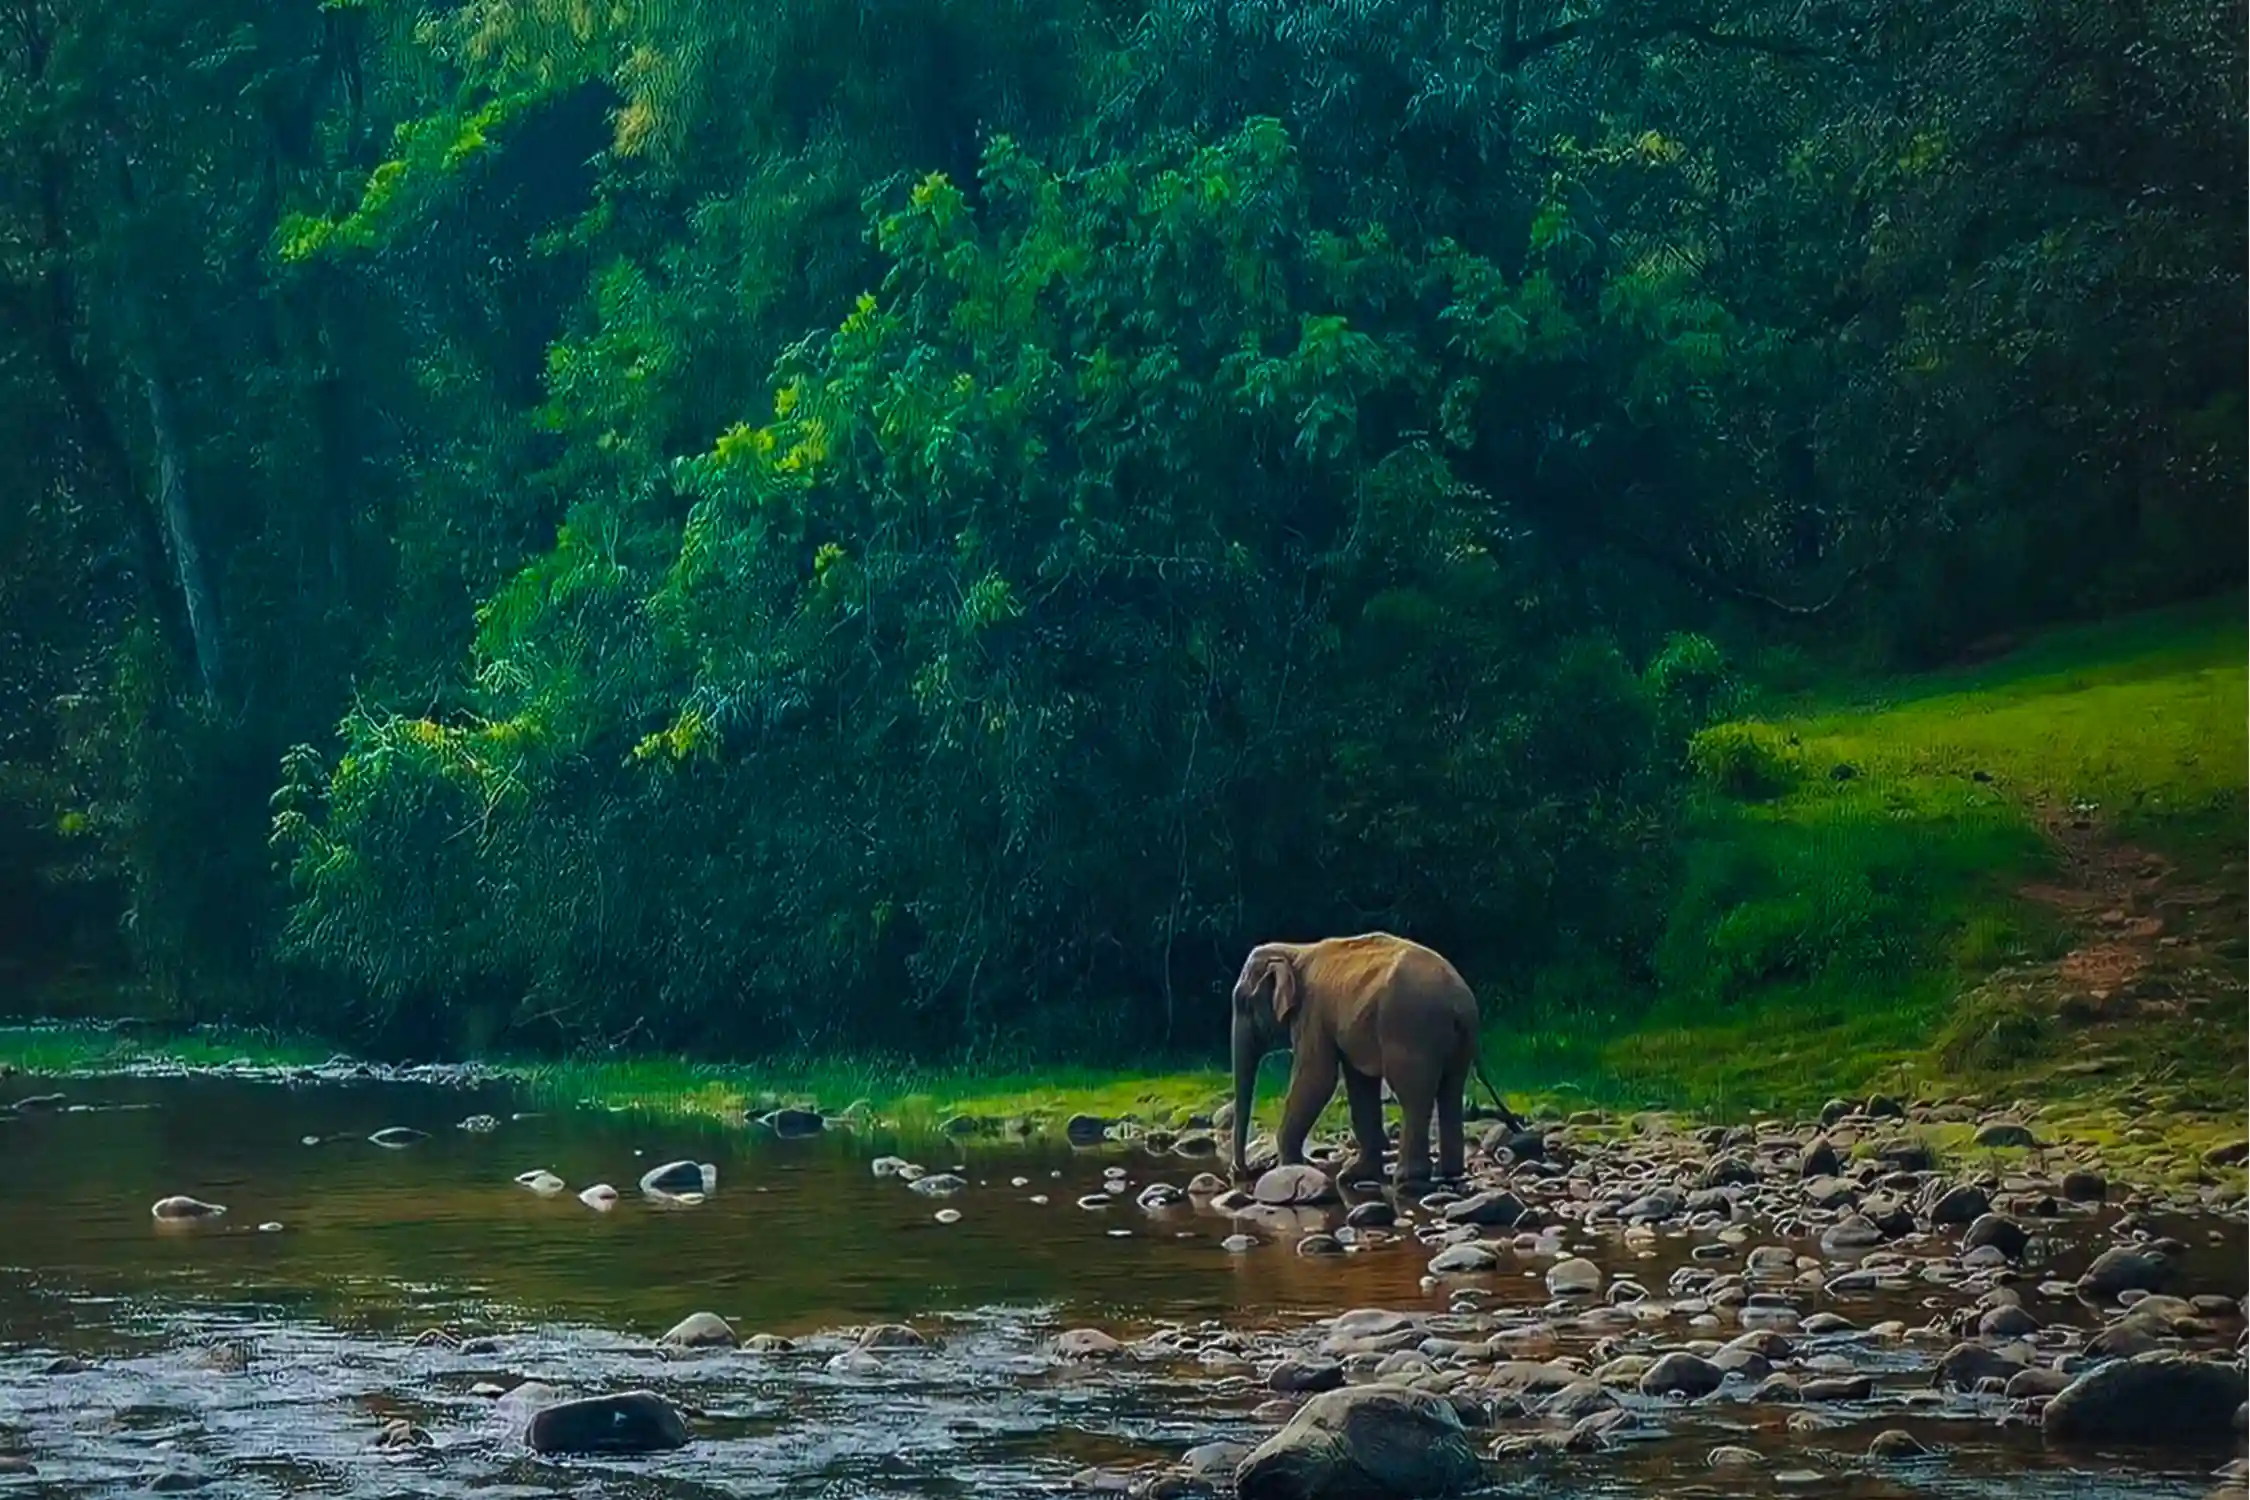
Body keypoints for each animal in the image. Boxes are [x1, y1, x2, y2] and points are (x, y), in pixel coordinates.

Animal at [1233, 931, 1530, 1187]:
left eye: (1242, 1002)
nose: (1243, 1173)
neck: (1295, 950)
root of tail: (1461, 1003)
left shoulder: (1313, 1013)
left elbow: (1317, 1078)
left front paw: (1290, 1167)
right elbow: (1359, 1082)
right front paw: (1353, 1175)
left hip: (1411, 1030)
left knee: (1412, 1094)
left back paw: (1408, 1177)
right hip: (1455, 1045)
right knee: (1450, 1090)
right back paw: (1448, 1173)